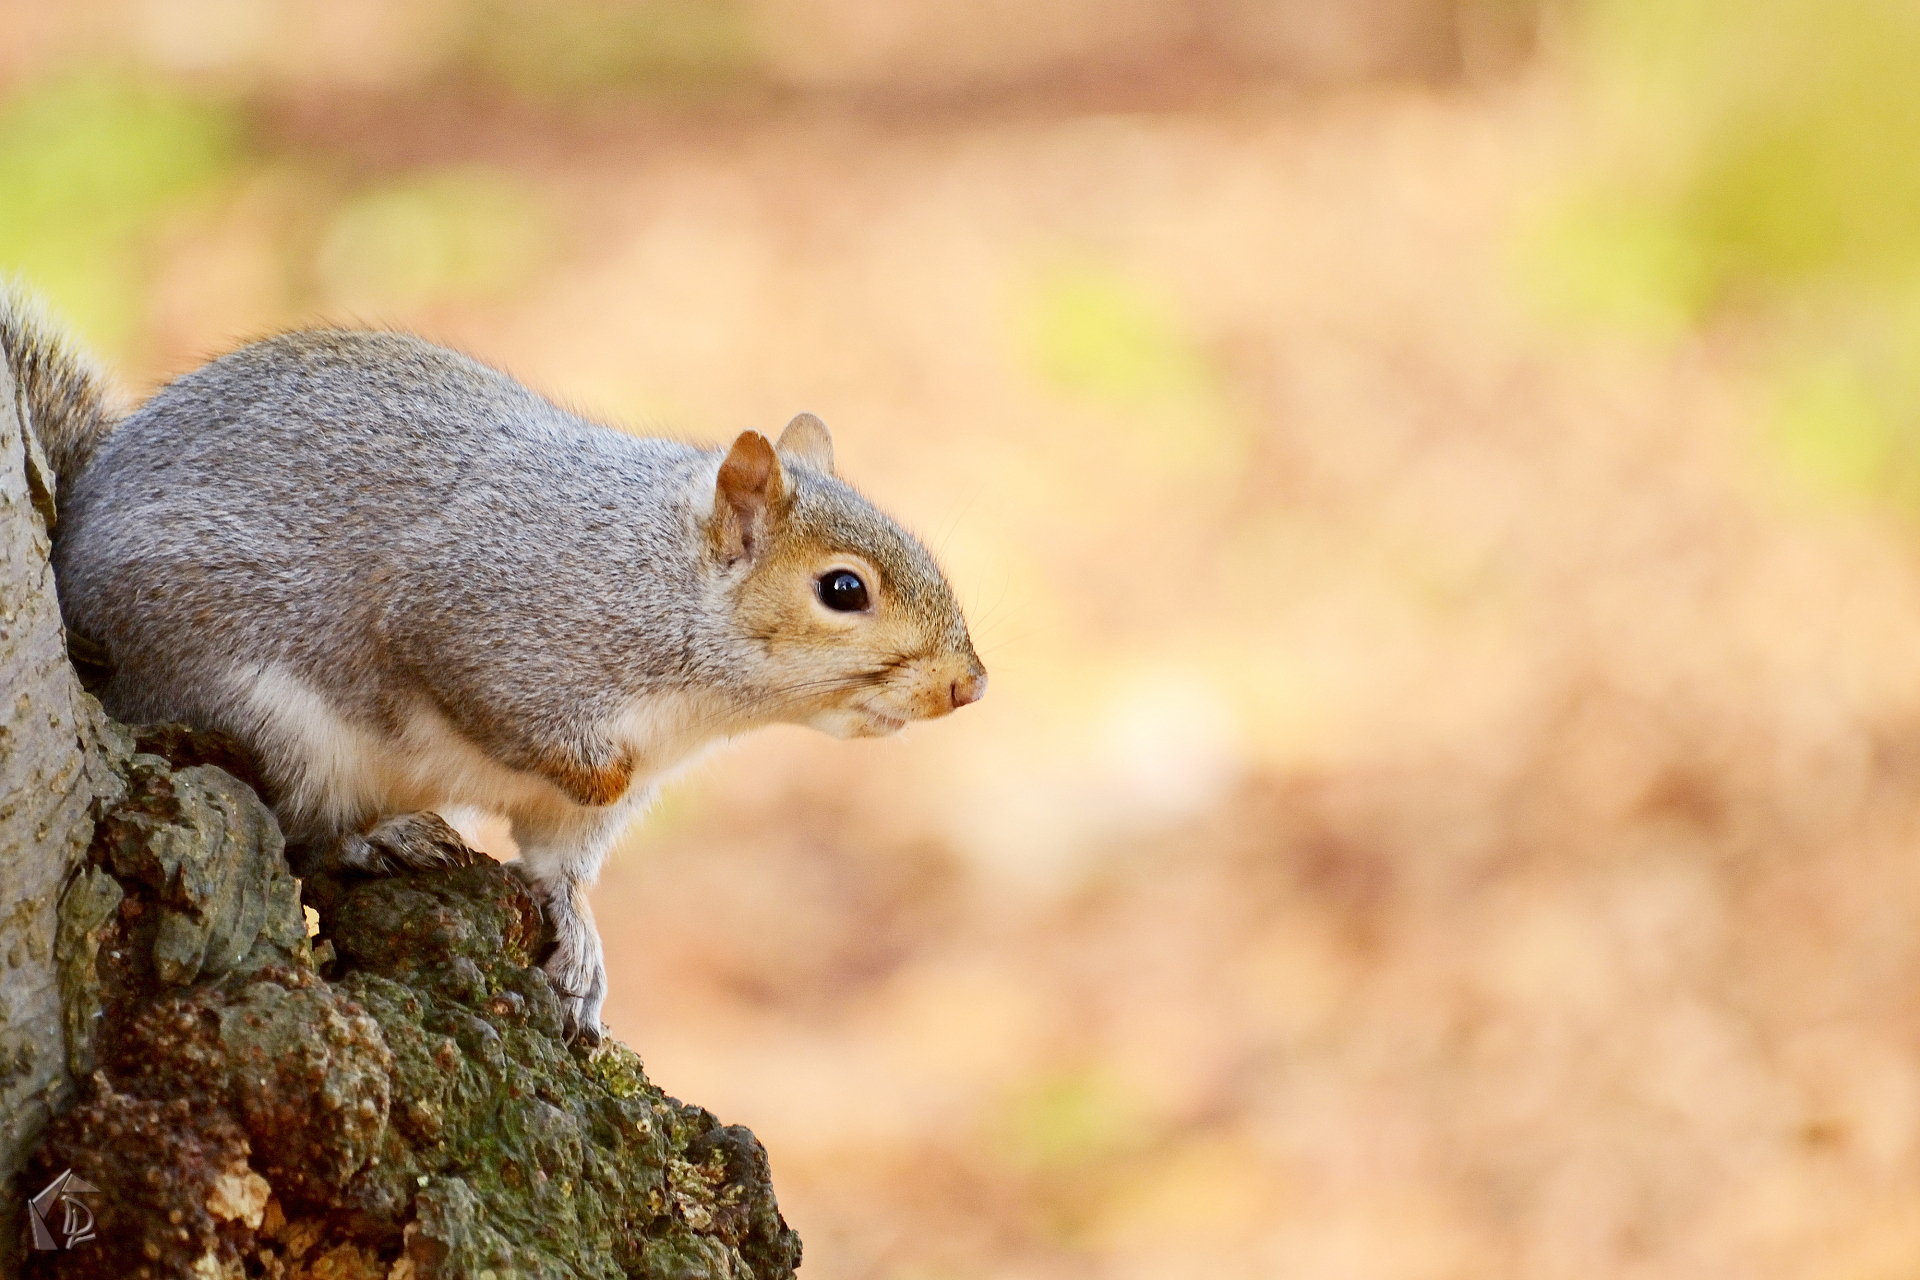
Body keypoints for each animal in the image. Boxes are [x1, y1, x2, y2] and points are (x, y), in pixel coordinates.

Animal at [2, 284, 987, 1043]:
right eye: (843, 590)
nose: (969, 684)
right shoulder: (478, 614)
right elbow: (483, 698)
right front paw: (591, 770)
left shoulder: (577, 816)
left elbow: (560, 868)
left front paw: (582, 950)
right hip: (255, 709)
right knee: (302, 825)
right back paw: (379, 836)